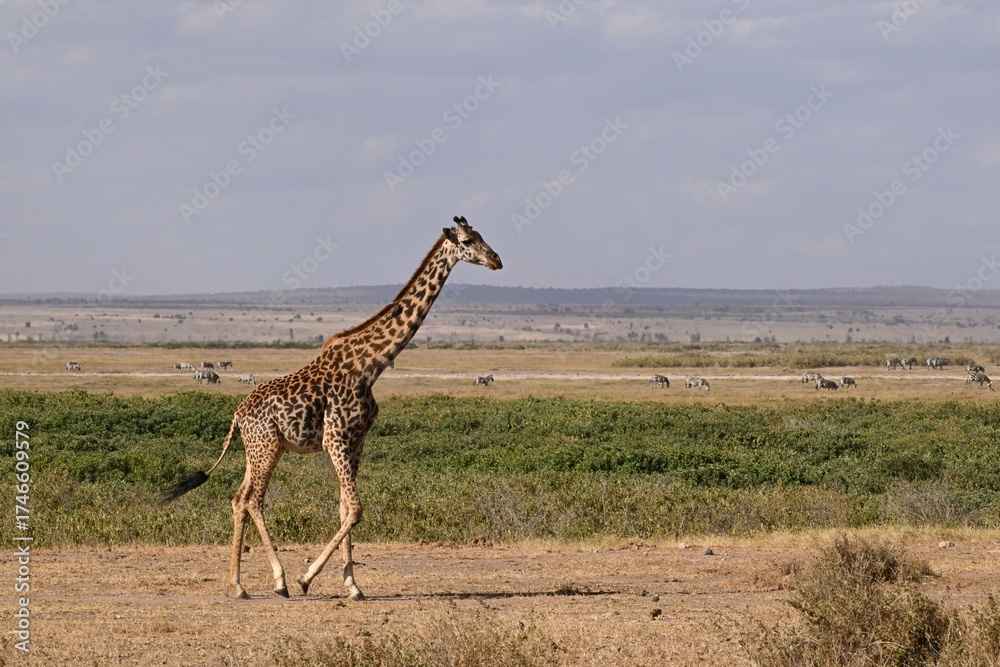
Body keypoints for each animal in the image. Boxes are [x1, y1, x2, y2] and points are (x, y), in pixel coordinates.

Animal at [164, 216, 502, 600]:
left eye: (481, 235)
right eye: (467, 241)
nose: (496, 260)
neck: (371, 365)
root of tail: (237, 415)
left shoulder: (356, 441)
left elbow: (344, 509)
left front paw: (353, 585)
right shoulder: (335, 438)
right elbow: (355, 508)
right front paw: (306, 578)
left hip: (261, 449)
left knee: (239, 499)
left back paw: (238, 585)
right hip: (266, 448)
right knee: (253, 501)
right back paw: (280, 580)